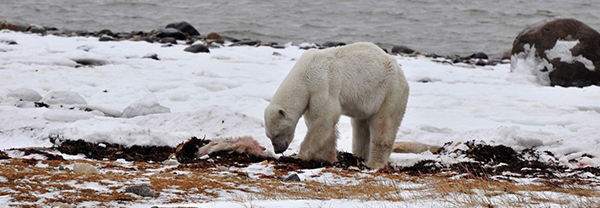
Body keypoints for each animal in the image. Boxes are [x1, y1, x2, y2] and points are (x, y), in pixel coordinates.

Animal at [264, 42, 410, 169]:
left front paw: (298, 156)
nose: (278, 150)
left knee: (383, 124)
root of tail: (402, 74)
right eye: (269, 136)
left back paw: (373, 163)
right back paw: (359, 155)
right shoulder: (311, 96)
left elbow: (323, 118)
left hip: (389, 92)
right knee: (360, 126)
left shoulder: (321, 85)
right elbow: (321, 125)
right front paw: (326, 157)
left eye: (276, 135)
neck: (304, 75)